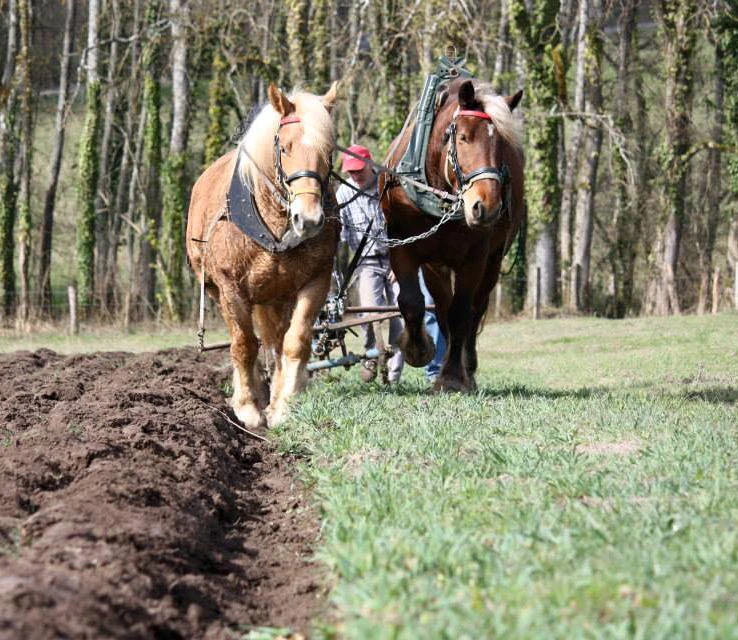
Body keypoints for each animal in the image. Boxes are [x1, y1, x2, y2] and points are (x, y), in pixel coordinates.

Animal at [188, 82, 340, 428]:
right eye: (285, 147)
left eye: (328, 151)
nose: (308, 219)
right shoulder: (230, 287)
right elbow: (244, 344)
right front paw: (247, 407)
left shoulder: (317, 279)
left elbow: (295, 341)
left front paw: (284, 405)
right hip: (219, 291)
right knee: (250, 341)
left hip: (277, 296)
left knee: (275, 341)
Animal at [380, 78, 524, 392]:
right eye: (464, 138)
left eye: (502, 145)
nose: (487, 206)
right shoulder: (403, 246)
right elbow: (412, 302)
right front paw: (418, 349)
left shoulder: (475, 257)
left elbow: (462, 312)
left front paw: (453, 377)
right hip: (437, 264)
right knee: (442, 306)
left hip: (493, 261)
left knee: (475, 309)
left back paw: (467, 367)